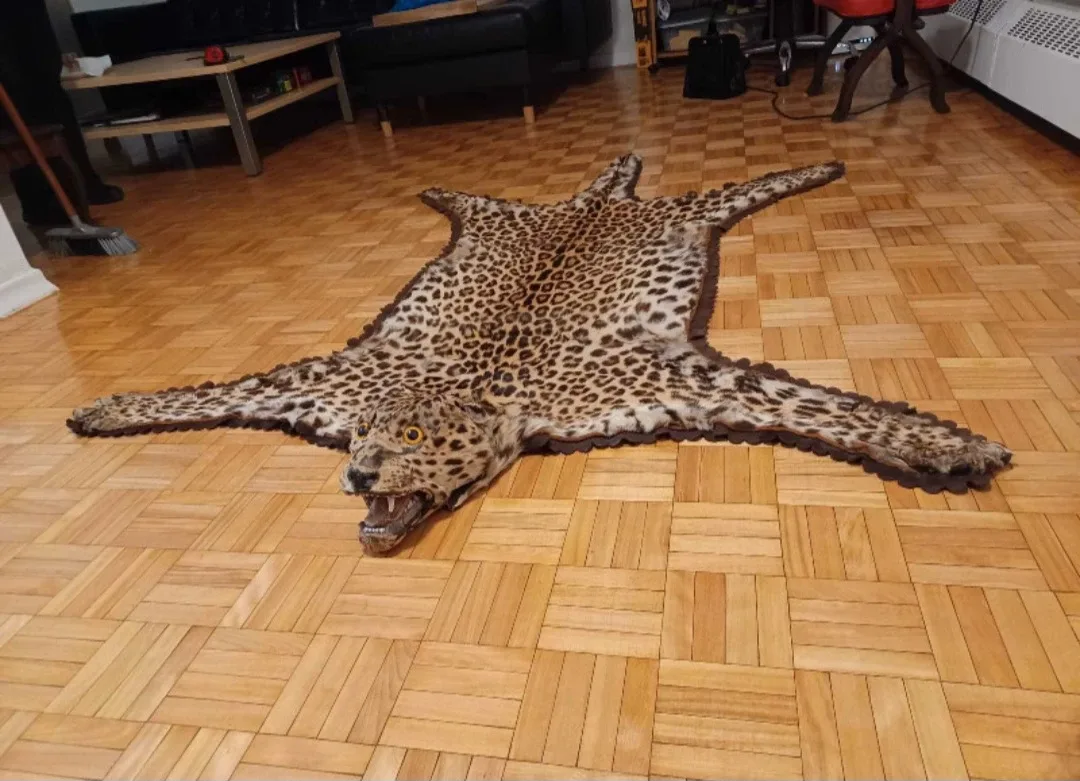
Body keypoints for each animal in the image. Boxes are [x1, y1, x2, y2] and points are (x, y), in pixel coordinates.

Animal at [70, 155, 1012, 553]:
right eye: (367, 437)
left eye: (414, 441)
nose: (359, 474)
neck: (480, 392)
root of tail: (588, 204)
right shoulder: (315, 383)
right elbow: (197, 392)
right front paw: (104, 408)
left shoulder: (684, 377)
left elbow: (825, 408)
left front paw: (948, 443)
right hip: (502, 211)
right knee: (516, 189)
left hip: (694, 211)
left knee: (743, 184)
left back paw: (824, 163)